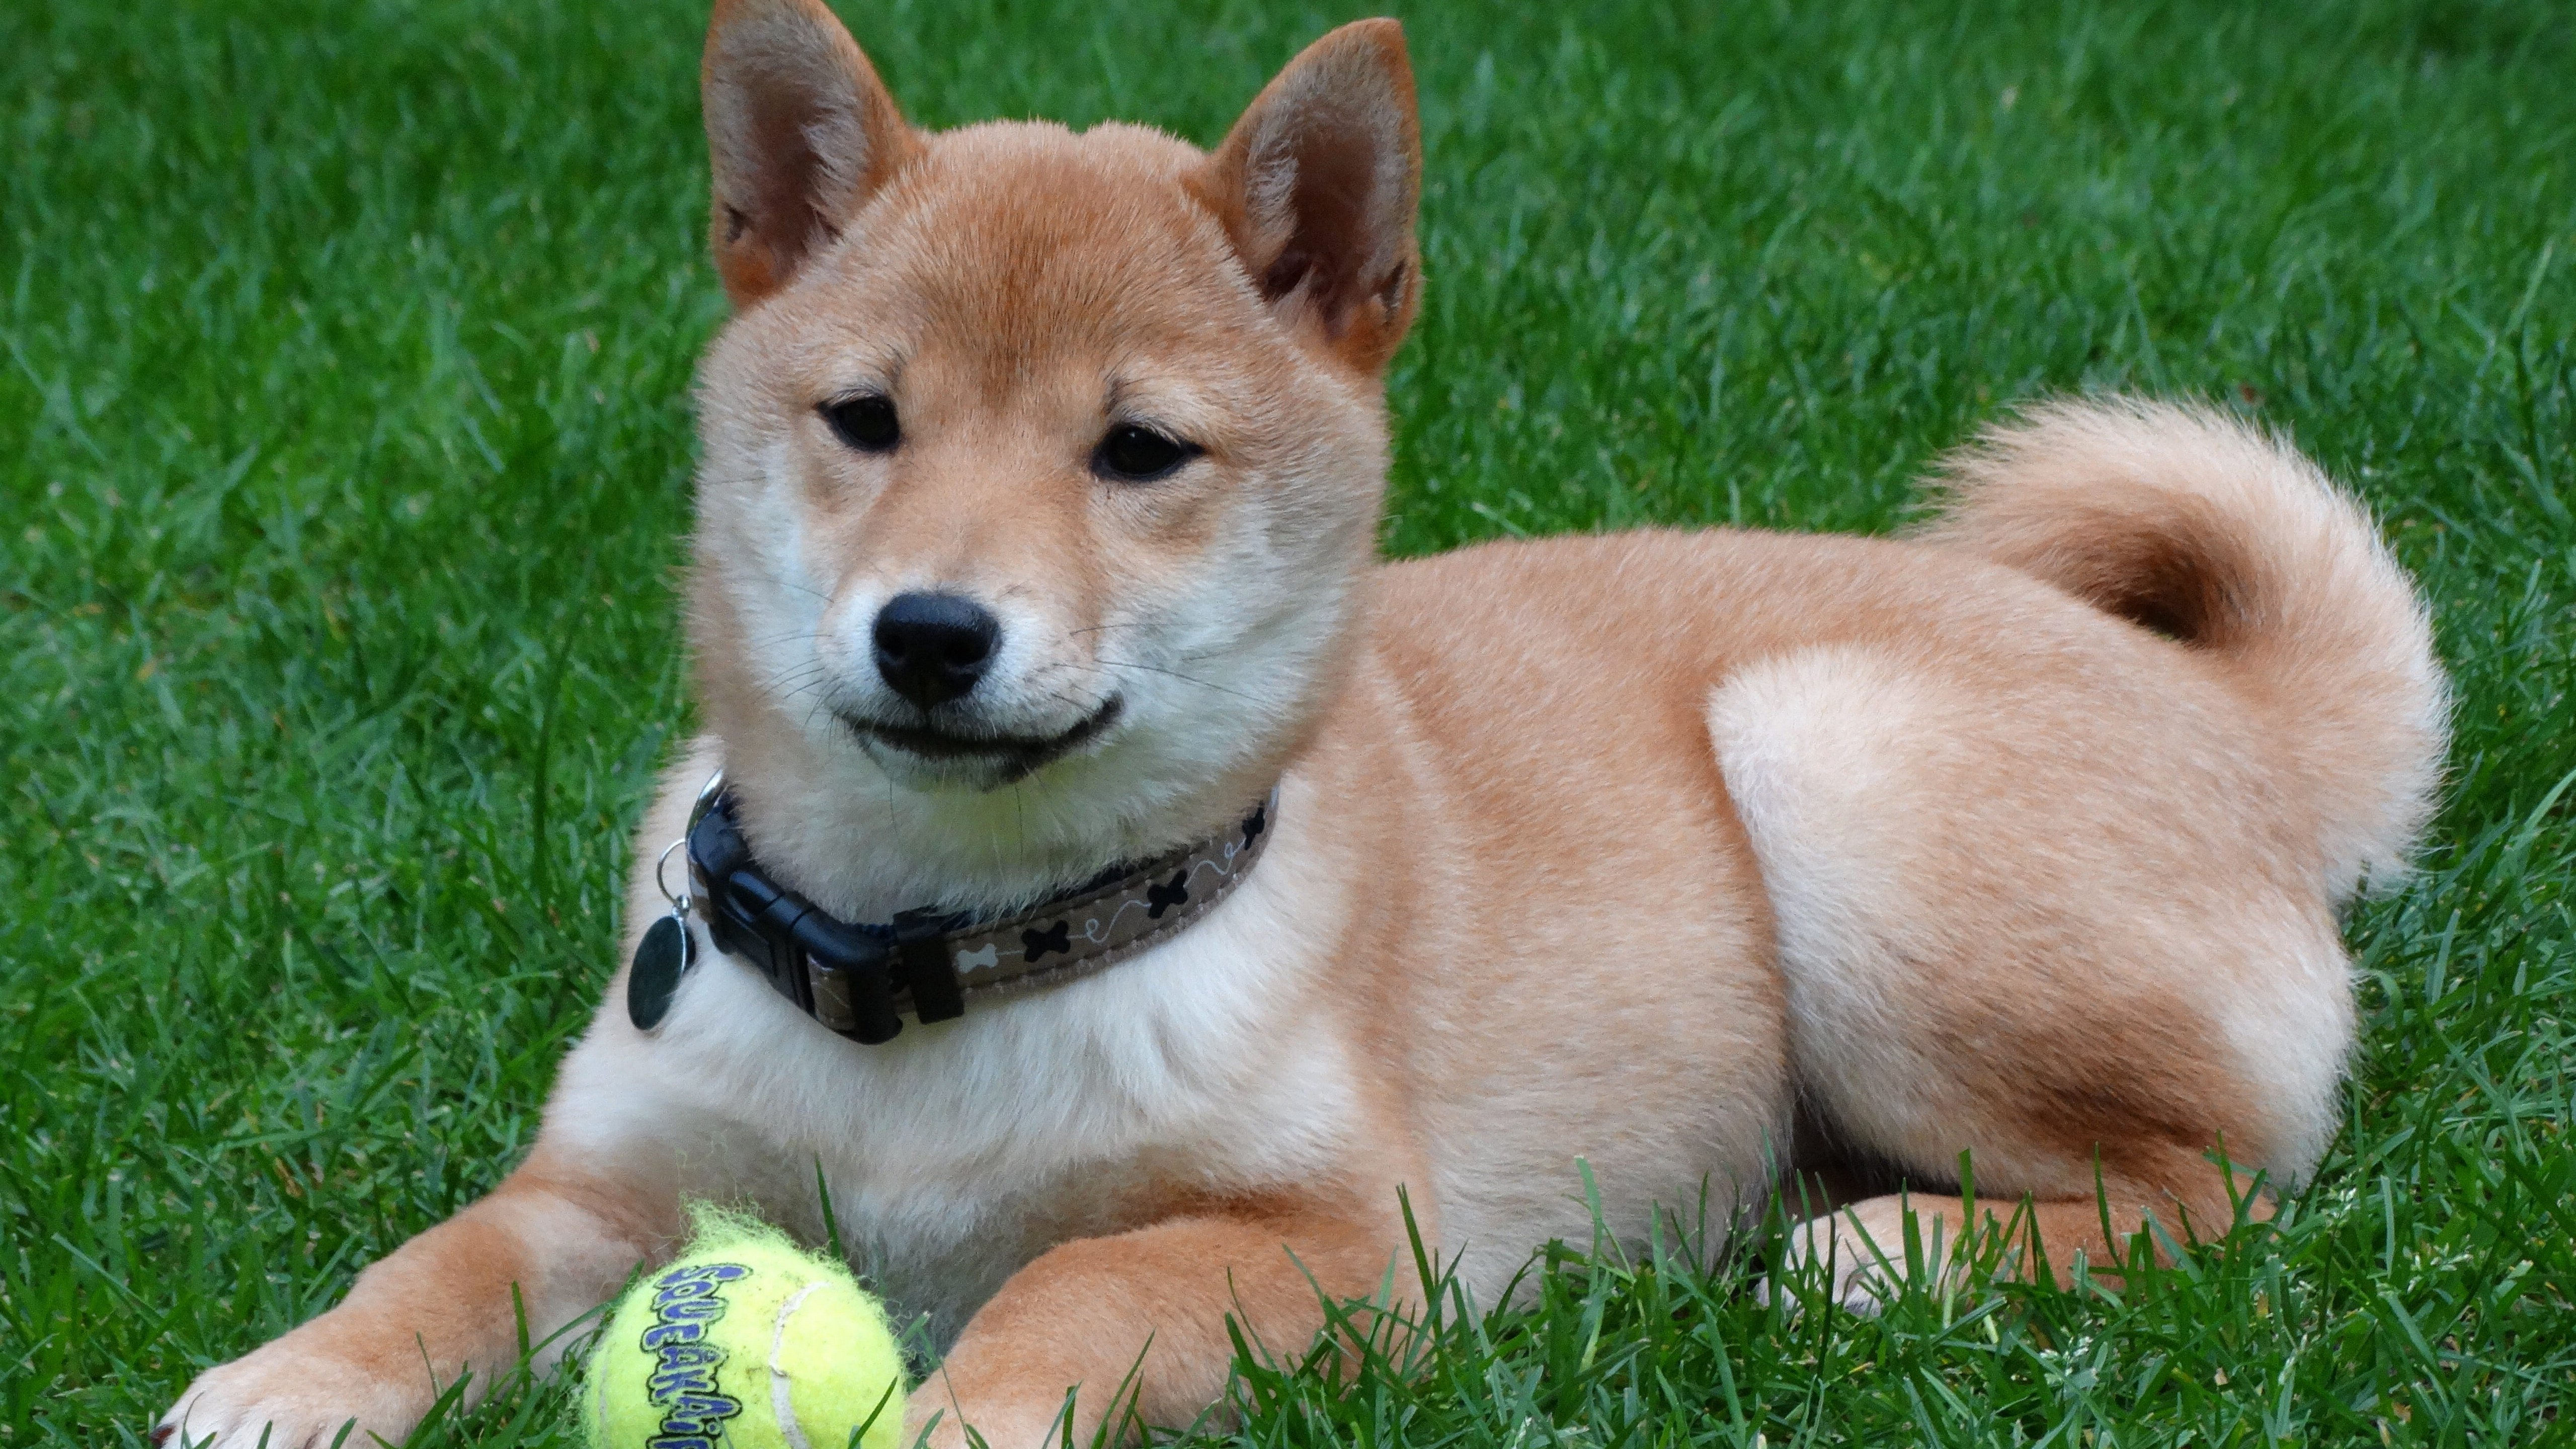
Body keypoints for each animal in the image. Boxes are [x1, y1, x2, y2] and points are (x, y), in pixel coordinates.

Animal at [150, 3, 2442, 1443]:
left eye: (1137, 451)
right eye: (865, 419)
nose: (928, 632)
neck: (944, 970)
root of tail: (2218, 706)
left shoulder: (1346, 1247)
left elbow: (1074, 1287)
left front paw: (957, 1415)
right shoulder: (611, 1182)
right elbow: (437, 1260)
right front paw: (289, 1381)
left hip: (1829, 767)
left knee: (2227, 1195)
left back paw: (1893, 1248)